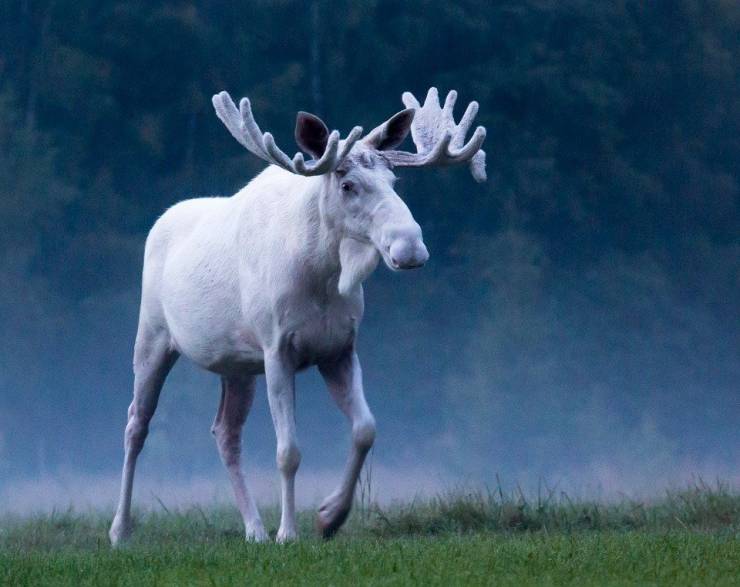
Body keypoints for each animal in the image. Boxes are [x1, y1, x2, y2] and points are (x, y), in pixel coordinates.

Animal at [108, 85, 486, 544]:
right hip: (153, 337)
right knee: (135, 425)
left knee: (225, 432)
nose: (410, 246)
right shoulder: (277, 350)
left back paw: (254, 529)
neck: (321, 277)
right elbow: (288, 451)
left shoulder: (339, 349)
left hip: (237, 365)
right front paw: (289, 533)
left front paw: (329, 517)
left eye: (394, 181)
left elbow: (366, 429)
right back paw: (120, 530)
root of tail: (159, 222)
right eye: (347, 183)